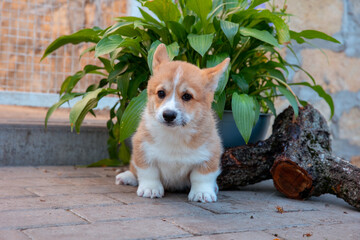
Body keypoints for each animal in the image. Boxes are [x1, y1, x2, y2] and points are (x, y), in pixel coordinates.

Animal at [116, 43, 232, 202]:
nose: (168, 115)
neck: (175, 133)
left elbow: (202, 177)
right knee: (134, 170)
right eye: (161, 93)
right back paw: (127, 176)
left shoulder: (209, 154)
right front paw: (150, 189)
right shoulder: (143, 150)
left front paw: (202, 193)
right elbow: (148, 172)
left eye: (187, 96)